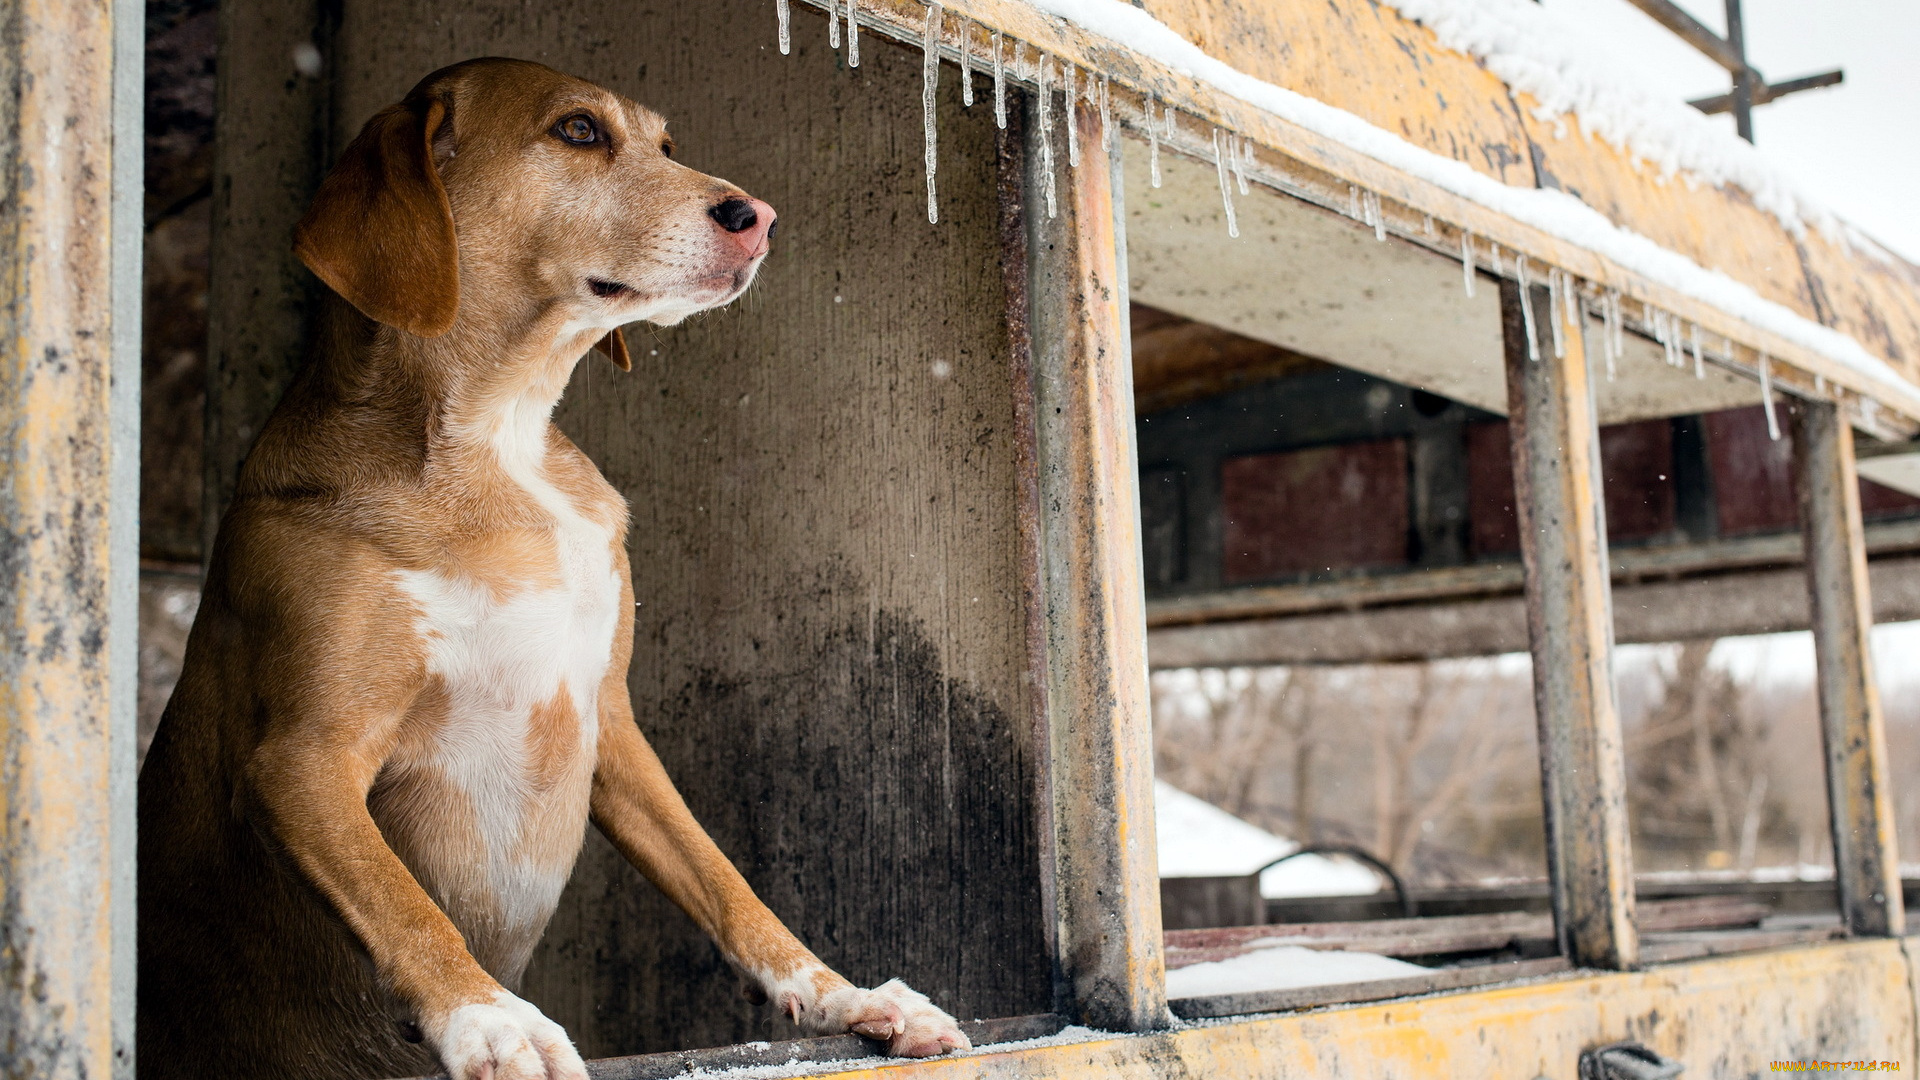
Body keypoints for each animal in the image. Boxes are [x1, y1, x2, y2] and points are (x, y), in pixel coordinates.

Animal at [135, 58, 967, 1076]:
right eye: (578, 130)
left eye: (666, 143)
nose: (762, 217)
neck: (500, 440)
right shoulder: (303, 760)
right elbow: (402, 903)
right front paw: (490, 1017)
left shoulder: (610, 720)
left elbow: (724, 879)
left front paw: (842, 992)